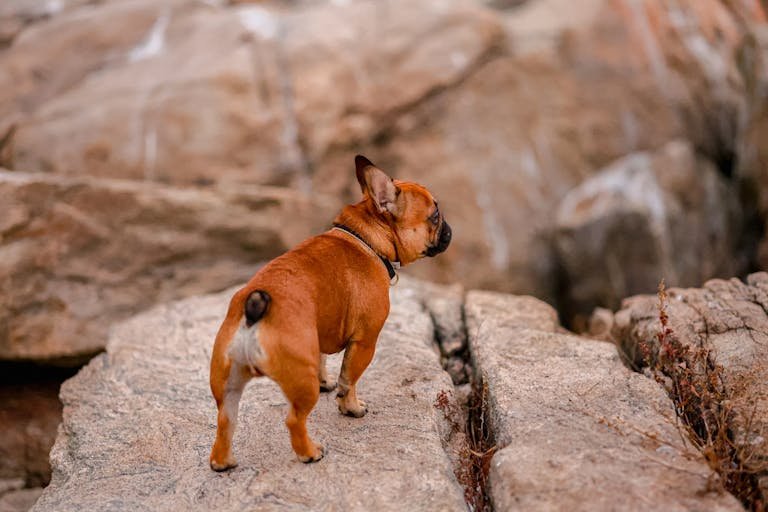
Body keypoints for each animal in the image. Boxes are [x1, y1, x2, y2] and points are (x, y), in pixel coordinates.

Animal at [207, 154, 452, 470]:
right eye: (434, 215)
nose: (449, 229)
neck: (367, 238)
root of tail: (253, 312)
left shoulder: (321, 333)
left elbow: (324, 360)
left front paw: (327, 383)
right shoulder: (365, 342)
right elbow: (350, 380)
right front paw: (351, 408)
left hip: (227, 383)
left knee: (225, 421)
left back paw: (223, 462)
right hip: (301, 382)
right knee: (294, 420)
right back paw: (310, 452)